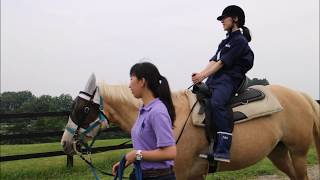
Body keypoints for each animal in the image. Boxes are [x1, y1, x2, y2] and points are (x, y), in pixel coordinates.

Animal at [61, 74, 318, 179]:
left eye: (84, 109)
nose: (66, 143)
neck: (169, 118)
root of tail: (301, 96)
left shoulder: (182, 173)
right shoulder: (195, 174)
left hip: (297, 153)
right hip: (279, 152)